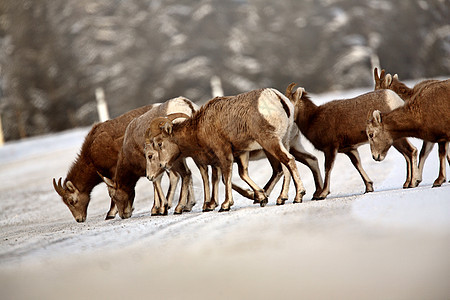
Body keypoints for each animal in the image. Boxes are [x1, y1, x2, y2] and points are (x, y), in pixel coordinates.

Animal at [144, 88, 306, 212]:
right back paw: (281, 198)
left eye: (159, 143)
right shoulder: (241, 153)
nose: (163, 165)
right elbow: (241, 174)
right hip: (283, 141)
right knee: (285, 167)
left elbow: (226, 176)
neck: (200, 128)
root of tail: (276, 97)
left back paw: (299, 196)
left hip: (270, 142)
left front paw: (224, 205)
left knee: (288, 161)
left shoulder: (223, 152)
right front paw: (261, 197)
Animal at [286, 82, 420, 199]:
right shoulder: (350, 149)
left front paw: (322, 194)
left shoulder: (330, 148)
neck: (312, 120)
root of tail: (394, 99)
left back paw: (412, 183)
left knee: (411, 151)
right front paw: (368, 188)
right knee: (407, 154)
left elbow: (328, 169)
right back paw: (407, 183)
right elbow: (357, 165)